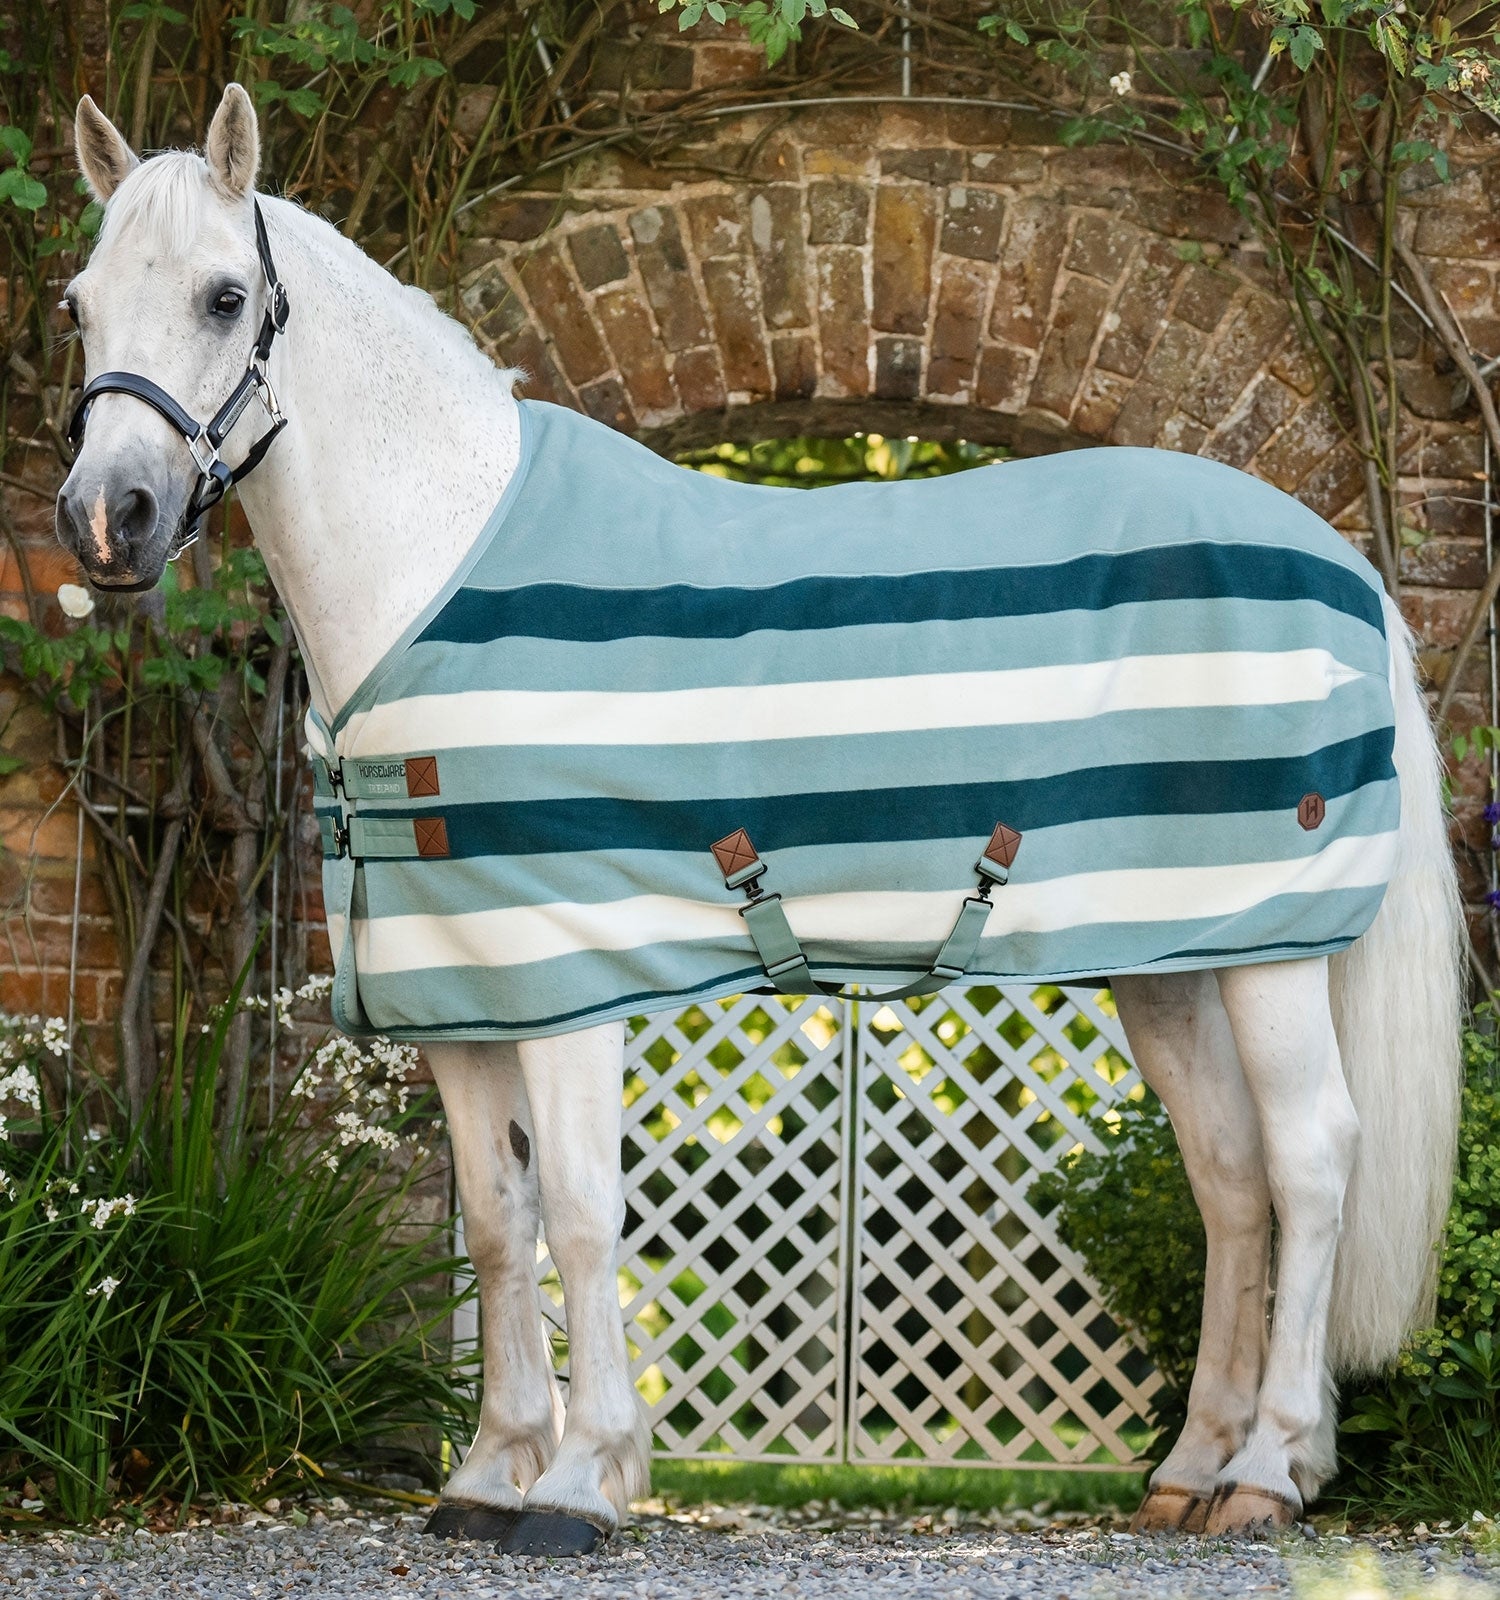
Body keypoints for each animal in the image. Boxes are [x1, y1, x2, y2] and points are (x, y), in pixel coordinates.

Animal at [56, 84, 1463, 1552]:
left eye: (225, 296)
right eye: (79, 304)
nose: (108, 519)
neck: (437, 564)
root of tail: (1343, 561)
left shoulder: (571, 974)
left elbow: (579, 1213)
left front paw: (581, 1482)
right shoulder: (459, 989)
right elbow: (498, 1221)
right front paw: (489, 1474)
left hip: (1274, 950)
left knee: (1311, 1162)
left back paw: (1271, 1468)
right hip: (1171, 960)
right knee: (1231, 1179)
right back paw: (1196, 1467)